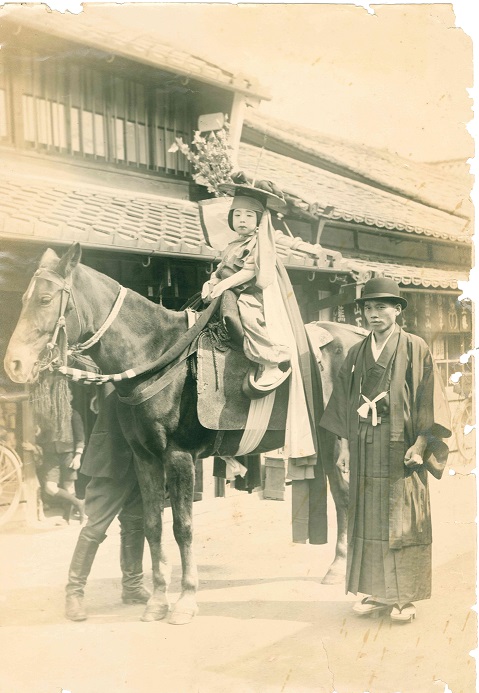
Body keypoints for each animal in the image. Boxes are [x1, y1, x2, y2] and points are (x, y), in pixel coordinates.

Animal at [3, 242, 366, 620]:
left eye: (45, 299)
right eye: (24, 298)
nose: (14, 363)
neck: (158, 355)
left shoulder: (179, 456)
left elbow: (183, 527)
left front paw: (186, 599)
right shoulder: (145, 457)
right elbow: (153, 526)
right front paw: (157, 600)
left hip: (336, 439)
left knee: (346, 496)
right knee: (342, 497)